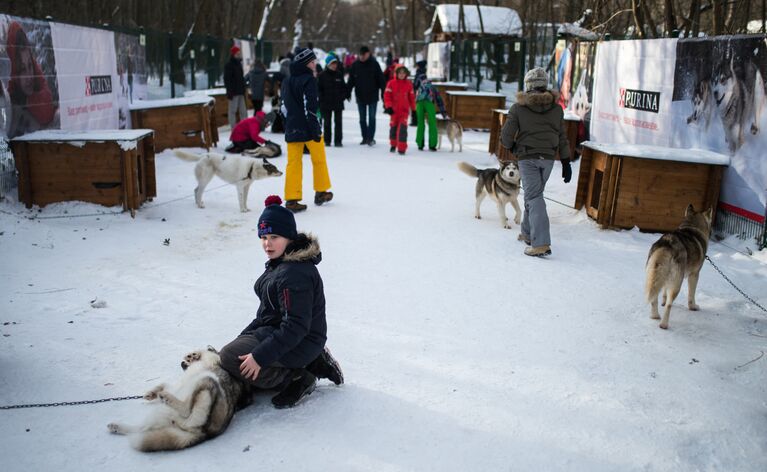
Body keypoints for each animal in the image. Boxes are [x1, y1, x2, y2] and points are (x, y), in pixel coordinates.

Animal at [106, 346, 250, 450]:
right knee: (140, 429)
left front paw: (194, 354)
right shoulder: (175, 386)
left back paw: (167, 397)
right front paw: (151, 393)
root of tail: (204, 433)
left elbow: (210, 353)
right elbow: (164, 384)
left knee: (186, 409)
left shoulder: (216, 359)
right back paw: (117, 426)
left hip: (207, 381)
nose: (182, 363)